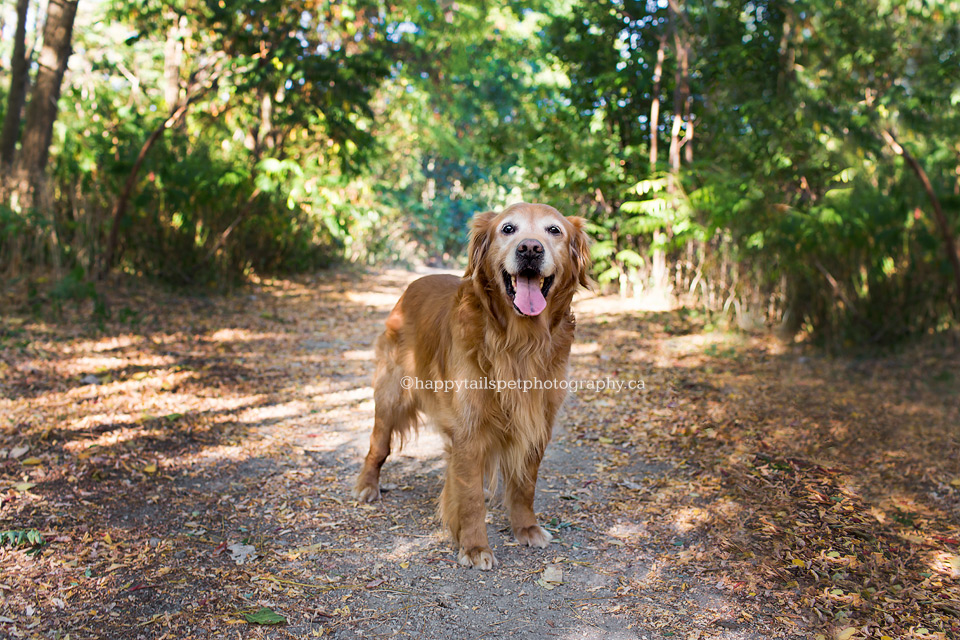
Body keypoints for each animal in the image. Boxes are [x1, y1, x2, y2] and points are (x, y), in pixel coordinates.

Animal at [354, 202, 592, 568]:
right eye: (508, 229)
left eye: (554, 230)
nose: (530, 248)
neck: (519, 343)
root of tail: (413, 284)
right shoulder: (468, 428)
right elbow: (469, 497)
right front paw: (475, 546)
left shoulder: (538, 422)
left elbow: (524, 485)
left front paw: (526, 528)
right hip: (391, 394)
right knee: (378, 446)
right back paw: (368, 486)